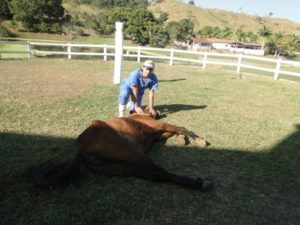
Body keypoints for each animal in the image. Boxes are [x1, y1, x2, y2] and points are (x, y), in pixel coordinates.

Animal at [26, 112, 213, 192]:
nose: (159, 112)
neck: (138, 115)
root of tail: (82, 149)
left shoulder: (159, 134)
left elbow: (176, 132)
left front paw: (183, 140)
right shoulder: (160, 127)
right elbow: (181, 128)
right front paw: (198, 139)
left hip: (122, 165)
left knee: (152, 173)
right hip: (130, 153)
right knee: (156, 170)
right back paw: (198, 183)